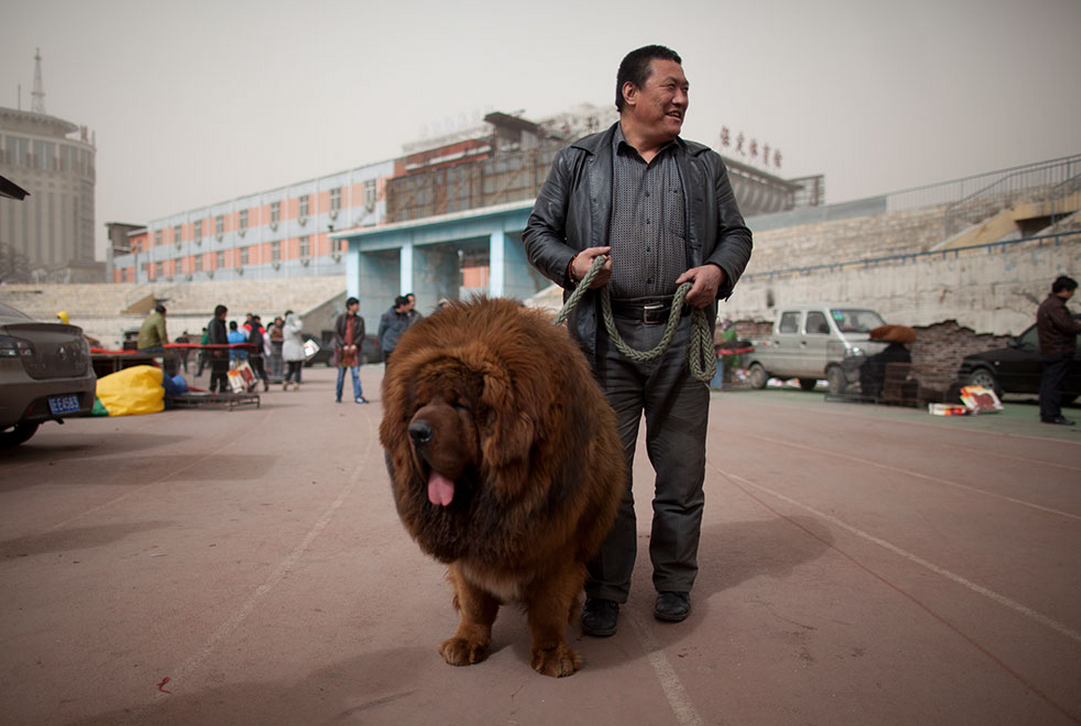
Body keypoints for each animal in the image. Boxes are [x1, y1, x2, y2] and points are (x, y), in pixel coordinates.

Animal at [380, 298, 622, 678]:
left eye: (460, 404)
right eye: (419, 405)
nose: (417, 432)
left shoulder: (557, 545)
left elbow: (549, 609)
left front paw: (553, 653)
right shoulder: (467, 552)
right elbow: (474, 604)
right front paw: (466, 641)